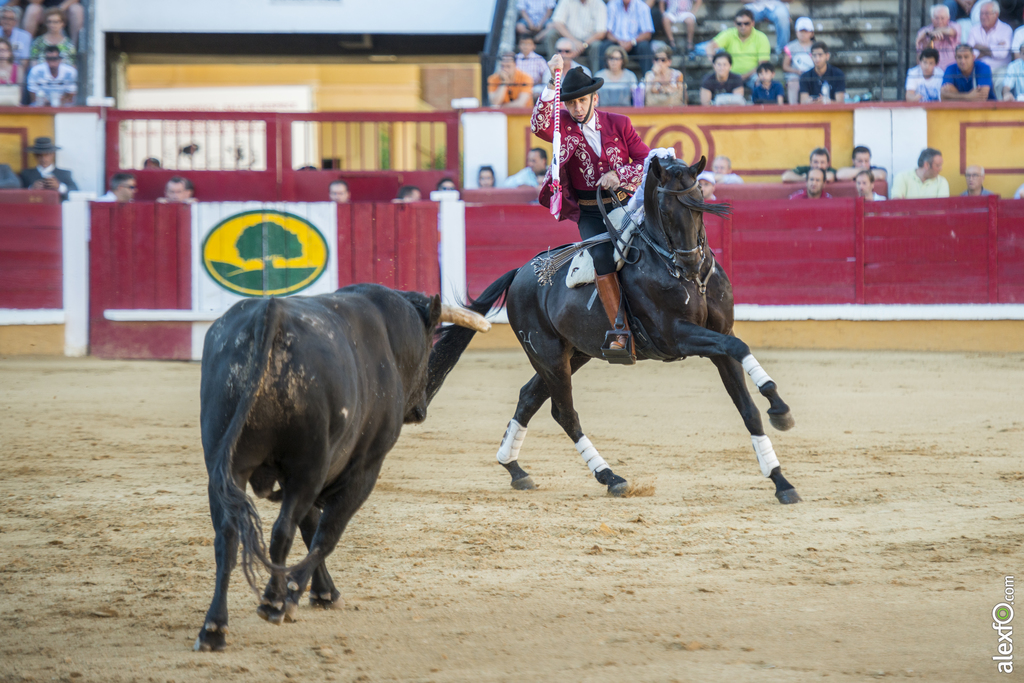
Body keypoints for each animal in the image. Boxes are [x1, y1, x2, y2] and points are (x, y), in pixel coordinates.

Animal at [196, 282, 456, 651]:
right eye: (430, 341)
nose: (421, 408)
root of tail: (271, 312)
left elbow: (311, 526)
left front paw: (321, 593)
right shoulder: (364, 467)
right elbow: (326, 532)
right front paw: (297, 595)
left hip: (226, 466)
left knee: (227, 536)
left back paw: (214, 628)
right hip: (308, 467)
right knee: (283, 531)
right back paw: (273, 602)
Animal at [430, 157, 798, 505]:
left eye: (700, 201)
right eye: (666, 210)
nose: (691, 264)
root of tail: (520, 273)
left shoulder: (721, 334)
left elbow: (747, 407)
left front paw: (781, 478)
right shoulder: (677, 336)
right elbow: (740, 350)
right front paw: (779, 409)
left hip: (574, 352)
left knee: (529, 398)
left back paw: (515, 468)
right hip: (548, 356)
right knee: (565, 413)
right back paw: (610, 477)